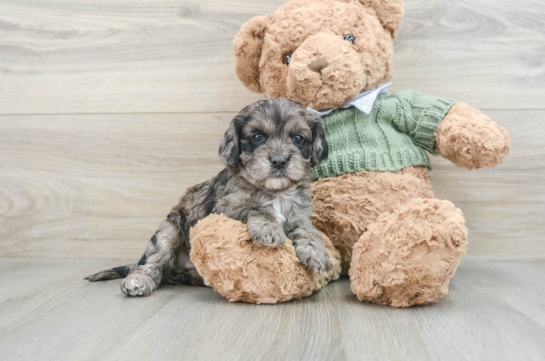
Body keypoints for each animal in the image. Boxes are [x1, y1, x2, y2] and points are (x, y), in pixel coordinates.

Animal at [86, 96, 332, 296]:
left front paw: (317, 252)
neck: (275, 192)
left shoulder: (299, 215)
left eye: (298, 138)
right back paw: (138, 281)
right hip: (168, 230)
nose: (279, 161)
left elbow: (309, 230)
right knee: (152, 263)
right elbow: (257, 208)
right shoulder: (223, 208)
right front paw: (269, 229)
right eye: (258, 137)